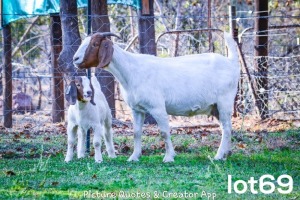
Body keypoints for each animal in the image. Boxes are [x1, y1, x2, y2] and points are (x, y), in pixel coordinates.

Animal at [72, 31, 239, 162]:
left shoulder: (157, 107)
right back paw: (225, 154)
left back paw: (219, 156)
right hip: (215, 107)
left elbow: (164, 131)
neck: (131, 70)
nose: (75, 59)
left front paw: (169, 157)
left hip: (224, 102)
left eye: (94, 44)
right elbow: (136, 132)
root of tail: (232, 63)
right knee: (226, 128)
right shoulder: (137, 109)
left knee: (227, 128)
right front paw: (134, 157)